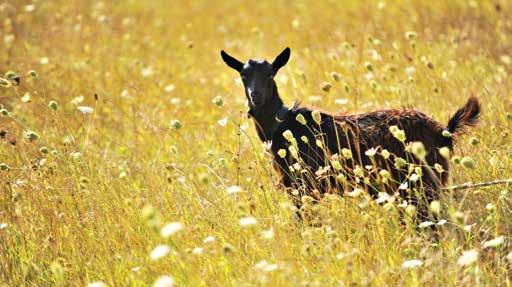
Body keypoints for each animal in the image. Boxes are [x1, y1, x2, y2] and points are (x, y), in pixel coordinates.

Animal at [220, 47, 480, 219]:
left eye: (271, 73)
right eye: (243, 75)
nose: (256, 96)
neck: (282, 126)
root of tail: (444, 131)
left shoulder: (303, 186)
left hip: (422, 183)